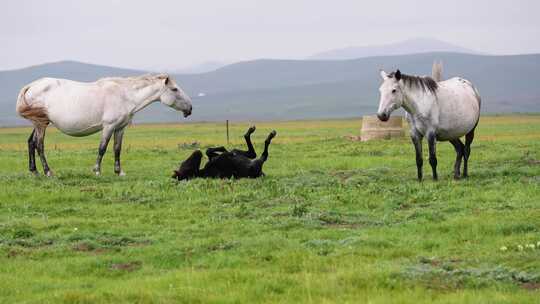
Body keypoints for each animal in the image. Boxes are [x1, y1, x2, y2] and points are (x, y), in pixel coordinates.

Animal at [15, 73, 193, 177]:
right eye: (175, 89)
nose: (190, 109)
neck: (124, 95)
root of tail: (31, 86)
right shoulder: (108, 126)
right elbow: (102, 148)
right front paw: (97, 170)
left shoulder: (120, 128)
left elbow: (117, 149)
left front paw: (119, 172)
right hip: (41, 124)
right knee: (39, 145)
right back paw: (48, 172)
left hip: (39, 122)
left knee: (31, 143)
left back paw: (34, 171)